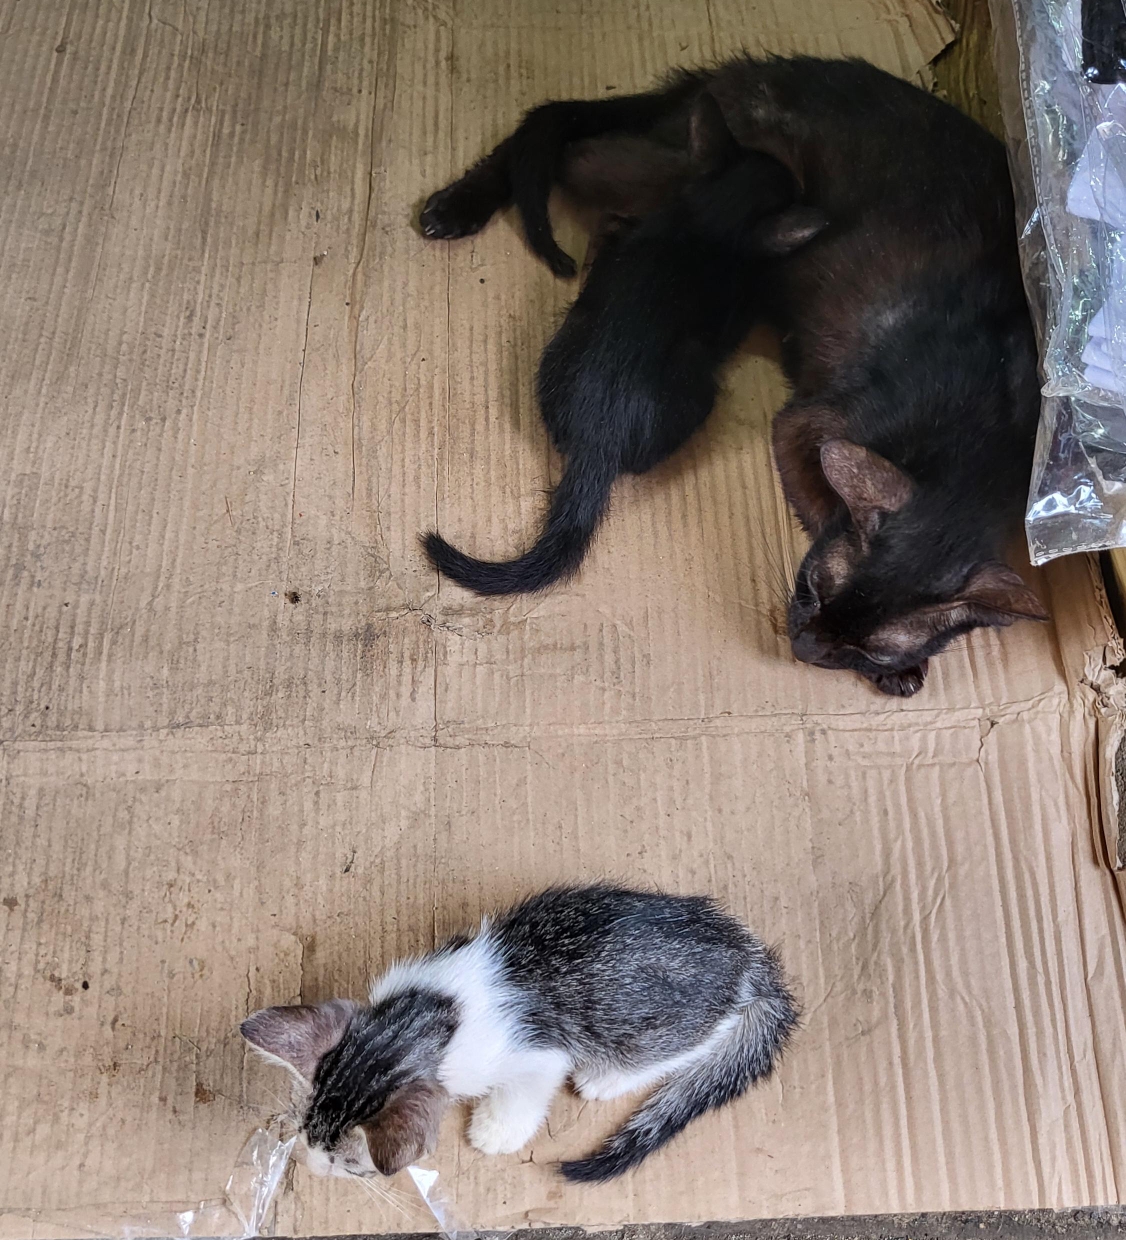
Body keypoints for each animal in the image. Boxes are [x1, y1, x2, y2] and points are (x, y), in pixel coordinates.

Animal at [241, 883, 797, 1184]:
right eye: (304, 1134)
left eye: (347, 1162)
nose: (315, 1167)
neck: (431, 1015)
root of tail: (751, 960)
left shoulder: (536, 1054)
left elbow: (523, 1093)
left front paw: (495, 1131)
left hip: (653, 1029)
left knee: (699, 1038)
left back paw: (607, 1079)